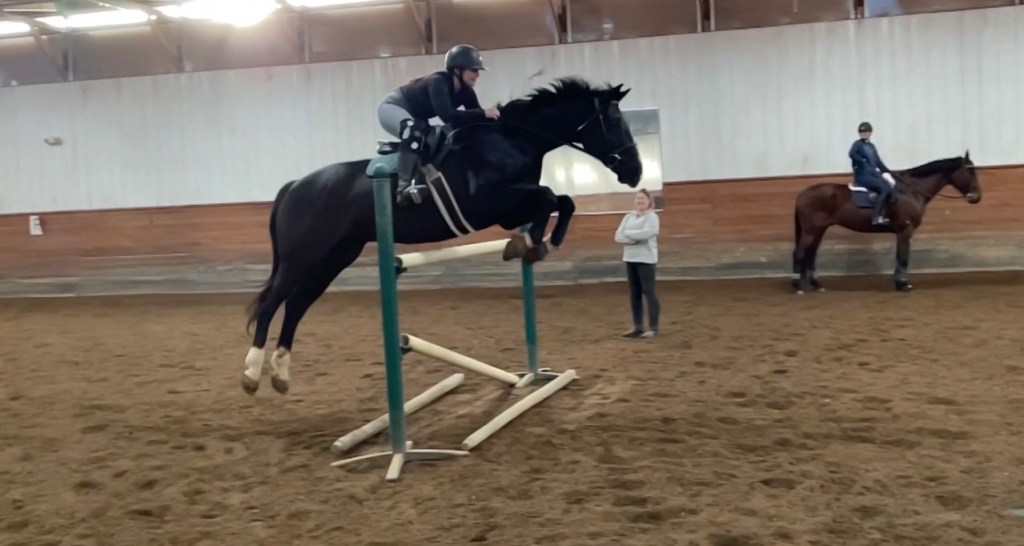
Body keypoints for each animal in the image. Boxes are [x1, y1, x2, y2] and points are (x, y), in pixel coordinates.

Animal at [240, 77, 644, 396]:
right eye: (612, 120)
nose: (636, 172)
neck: (515, 139)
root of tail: (295, 185)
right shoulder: (493, 206)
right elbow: (548, 198)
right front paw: (527, 244)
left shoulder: (512, 206)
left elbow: (562, 200)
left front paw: (538, 244)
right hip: (301, 257)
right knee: (273, 302)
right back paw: (252, 373)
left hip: (335, 257)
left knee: (296, 304)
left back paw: (281, 375)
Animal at [791, 151, 981, 294]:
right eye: (970, 171)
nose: (977, 197)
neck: (911, 191)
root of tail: (803, 194)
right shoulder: (905, 231)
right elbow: (903, 257)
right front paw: (903, 284)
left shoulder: (902, 233)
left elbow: (899, 257)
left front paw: (899, 282)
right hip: (811, 230)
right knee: (799, 253)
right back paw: (797, 286)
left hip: (820, 229)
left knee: (811, 254)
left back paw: (816, 285)